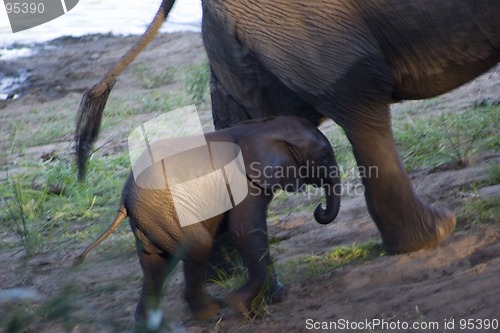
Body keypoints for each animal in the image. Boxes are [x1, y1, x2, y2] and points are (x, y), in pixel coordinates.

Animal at [76, 116, 342, 326]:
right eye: (325, 156)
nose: (319, 209)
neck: (263, 127)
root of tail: (125, 198)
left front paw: (271, 298)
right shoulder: (245, 182)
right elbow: (246, 231)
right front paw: (241, 306)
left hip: (150, 221)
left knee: (154, 265)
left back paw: (150, 323)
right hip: (168, 213)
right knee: (198, 246)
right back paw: (211, 312)